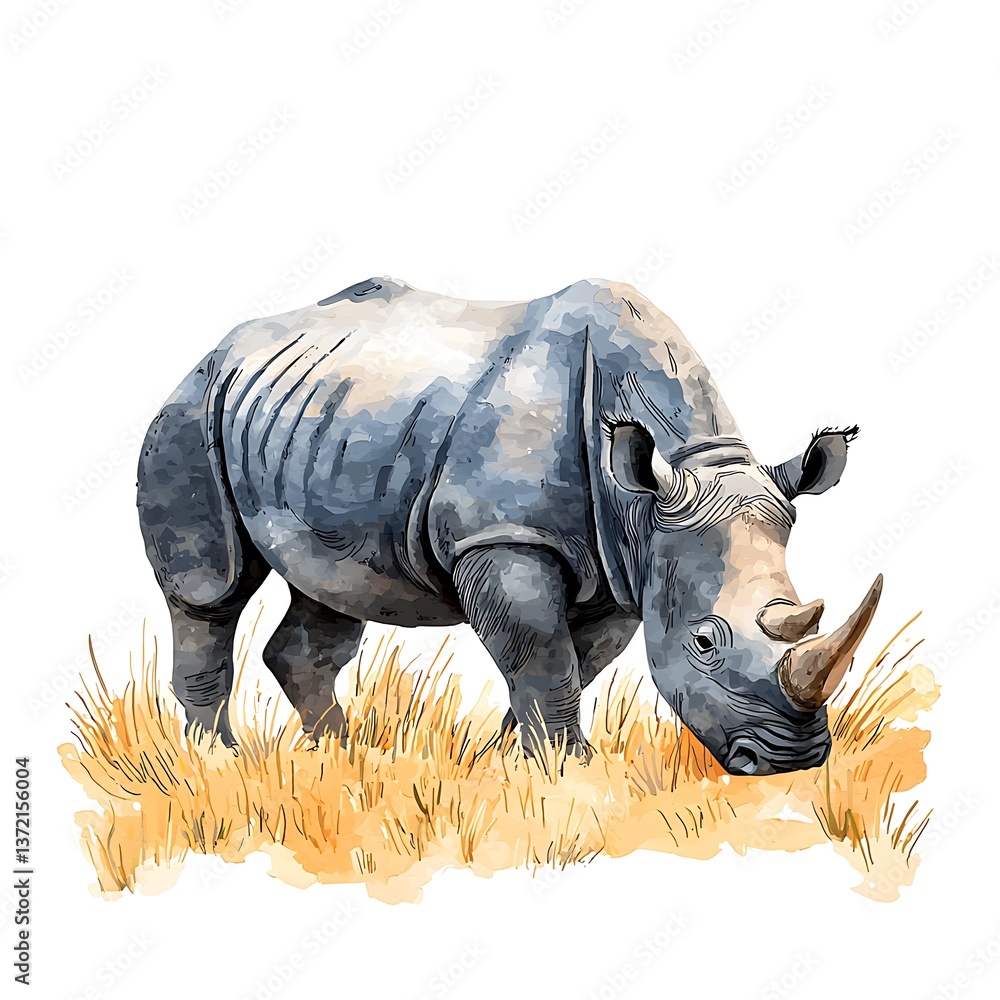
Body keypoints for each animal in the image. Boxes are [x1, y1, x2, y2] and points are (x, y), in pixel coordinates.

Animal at [137, 276, 881, 775]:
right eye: (703, 643)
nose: (794, 762)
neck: (664, 483)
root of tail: (221, 346)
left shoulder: (623, 563)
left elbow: (568, 664)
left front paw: (510, 765)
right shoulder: (504, 537)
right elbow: (542, 659)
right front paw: (572, 772)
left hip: (314, 423)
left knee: (327, 595)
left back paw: (345, 759)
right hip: (191, 410)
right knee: (210, 589)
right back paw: (217, 765)